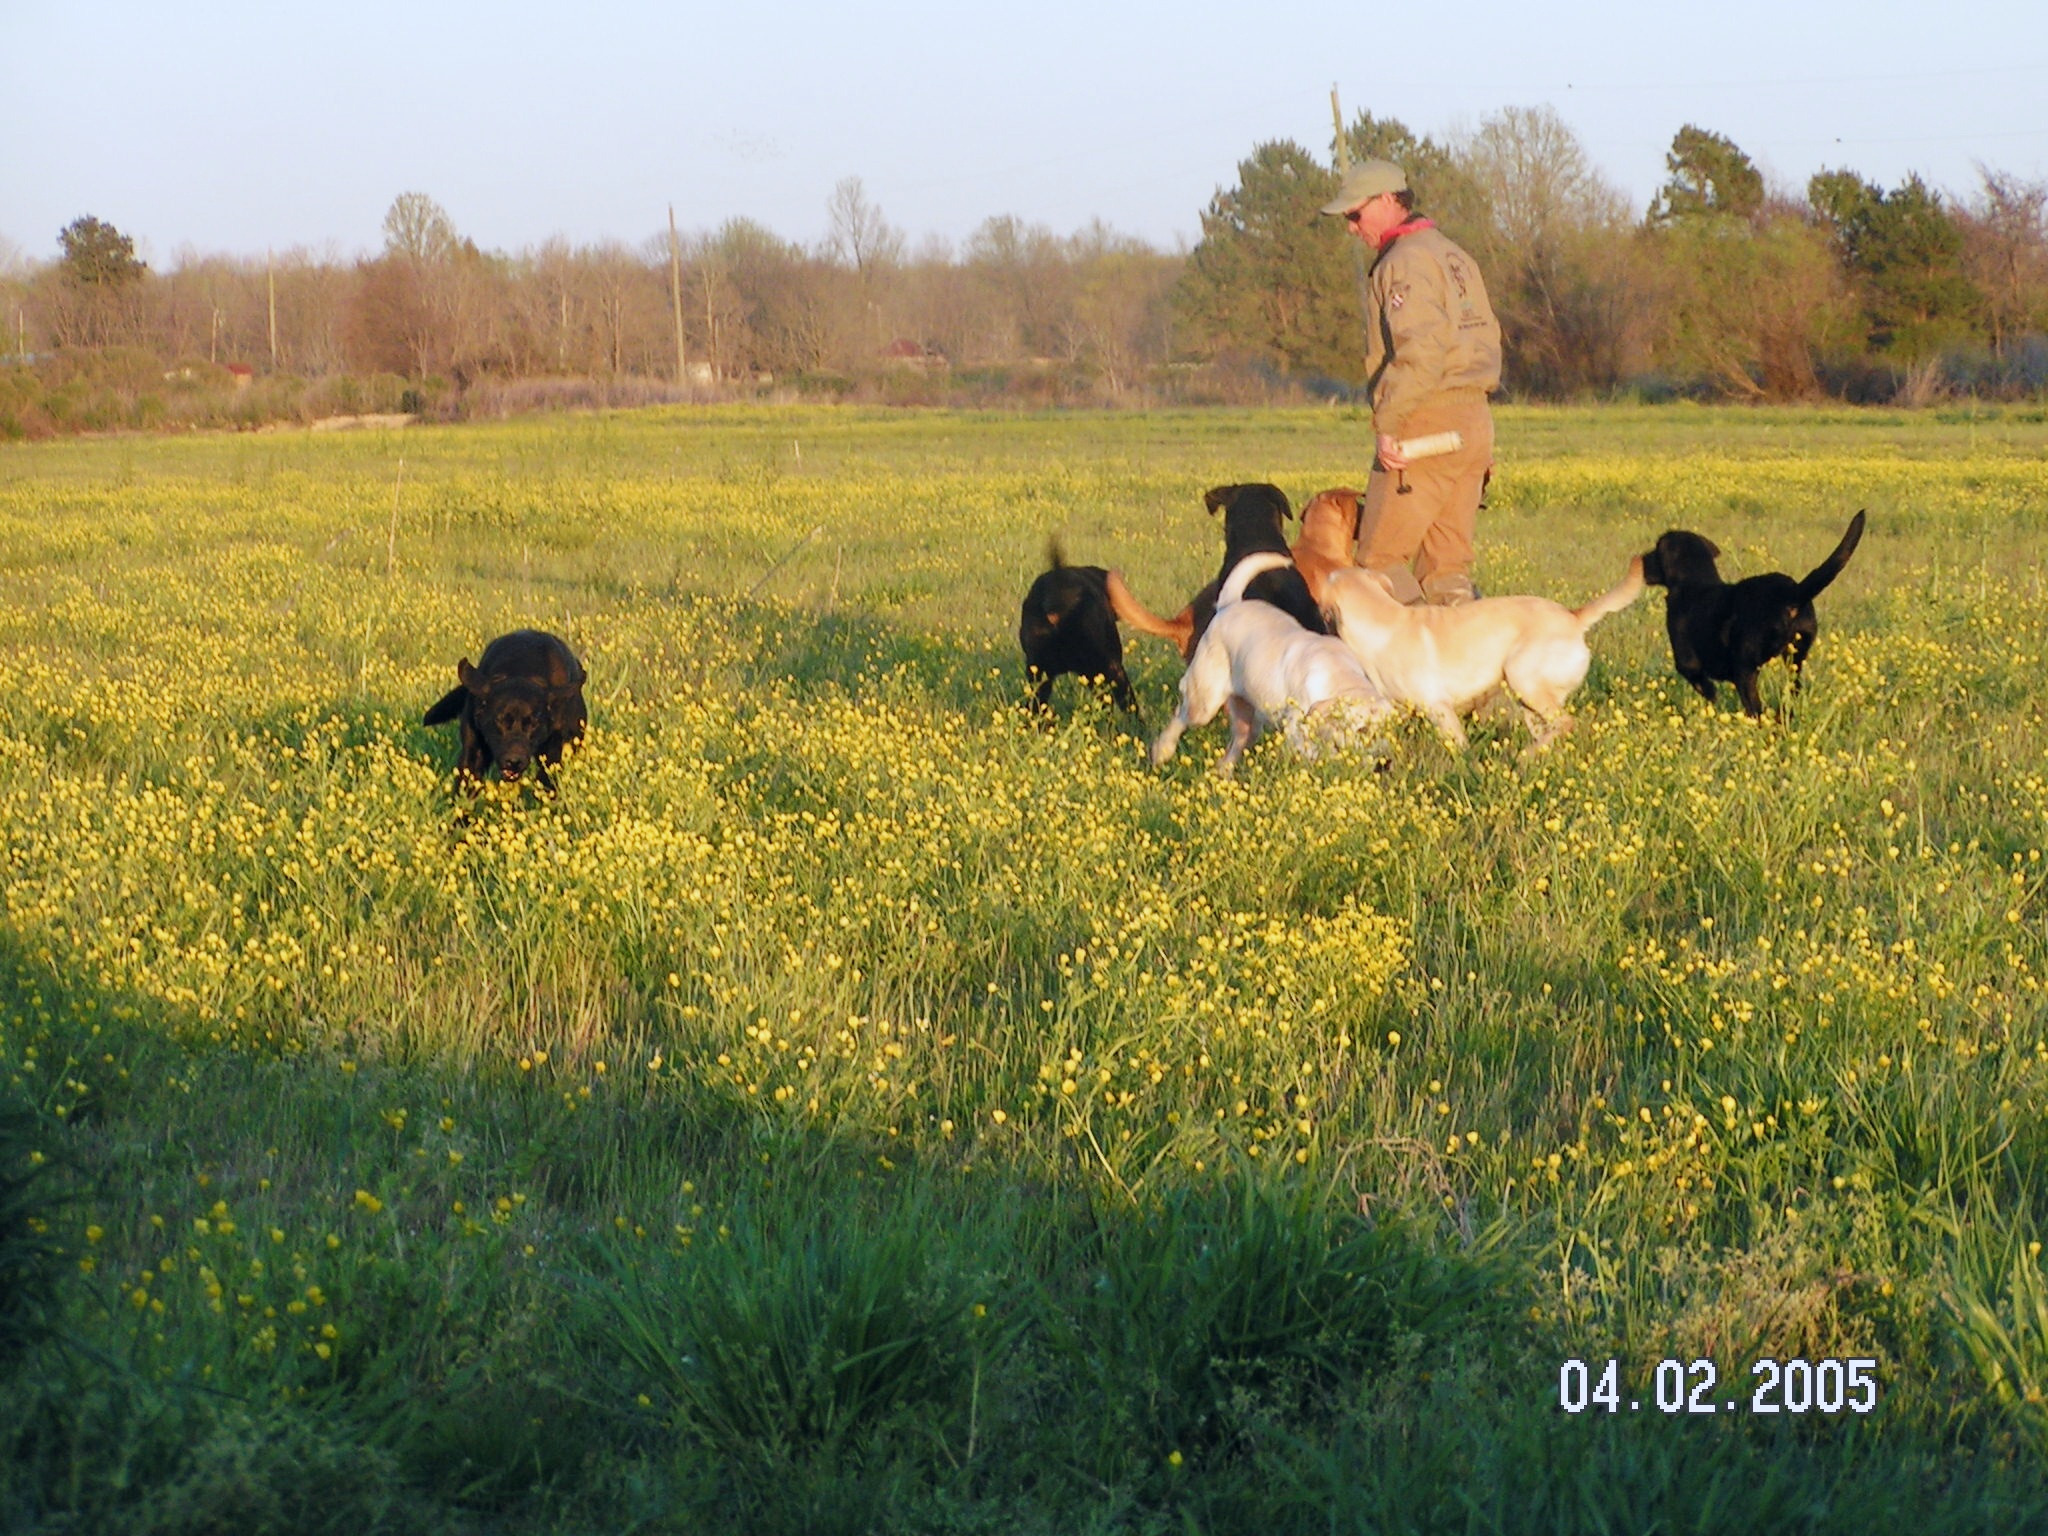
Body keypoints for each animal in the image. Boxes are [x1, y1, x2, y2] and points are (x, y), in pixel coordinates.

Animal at [424, 629, 588, 790]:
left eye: (534, 724)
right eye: (499, 720)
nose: (514, 761)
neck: (522, 668)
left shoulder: (553, 751)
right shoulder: (473, 751)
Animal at [1150, 553, 1390, 776]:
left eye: (1388, 731)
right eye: (1362, 730)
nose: (1384, 763)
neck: (1338, 674)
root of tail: (1230, 604)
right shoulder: (1295, 731)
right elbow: (1318, 751)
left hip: (1247, 721)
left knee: (1232, 749)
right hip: (1204, 704)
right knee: (1181, 713)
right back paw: (1162, 751)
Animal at [1322, 557, 1644, 752]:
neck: (1382, 621)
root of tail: (1573, 616)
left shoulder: (1439, 708)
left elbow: (1458, 747)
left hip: (1521, 675)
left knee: (1567, 723)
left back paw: (1526, 755)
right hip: (1530, 702)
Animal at [1640, 510, 1866, 717]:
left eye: (1655, 550)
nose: (1641, 559)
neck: (1695, 582)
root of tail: (1793, 592)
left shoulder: (1686, 661)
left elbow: (1701, 682)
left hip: (1745, 667)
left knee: (1756, 708)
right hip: (1795, 658)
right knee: (1792, 690)